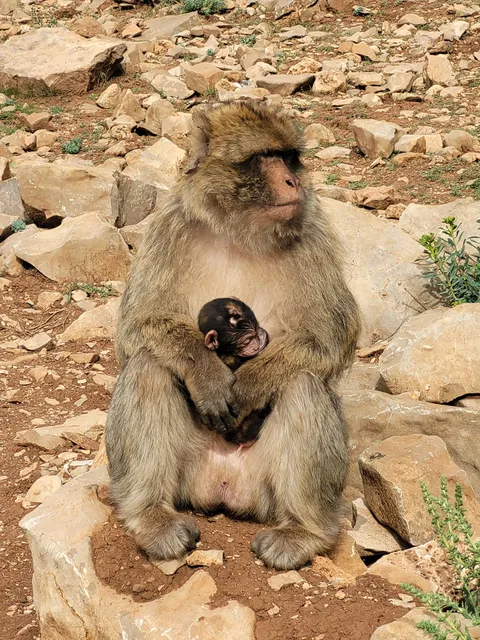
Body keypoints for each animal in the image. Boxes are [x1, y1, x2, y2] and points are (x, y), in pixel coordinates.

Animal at [106, 101, 361, 571]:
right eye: (263, 157)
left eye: (288, 157)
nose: (293, 182)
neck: (239, 232)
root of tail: (224, 488)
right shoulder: (169, 228)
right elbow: (137, 326)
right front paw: (207, 375)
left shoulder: (312, 232)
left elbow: (331, 334)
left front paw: (251, 384)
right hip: (189, 476)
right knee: (149, 366)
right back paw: (152, 517)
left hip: (265, 489)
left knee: (302, 384)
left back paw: (304, 531)